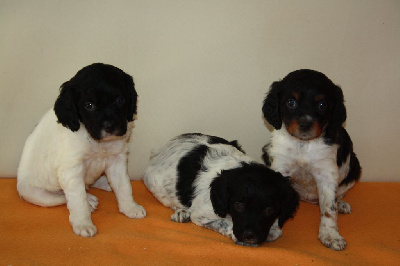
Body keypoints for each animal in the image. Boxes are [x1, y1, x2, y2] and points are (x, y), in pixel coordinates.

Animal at [17, 62, 146, 237]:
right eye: (89, 105)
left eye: (120, 100)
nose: (110, 127)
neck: (97, 142)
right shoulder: (72, 170)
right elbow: (78, 200)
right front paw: (83, 223)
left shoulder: (117, 160)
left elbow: (124, 186)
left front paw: (130, 208)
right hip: (38, 195)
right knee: (64, 197)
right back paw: (90, 200)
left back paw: (105, 184)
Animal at [142, 134, 298, 246]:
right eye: (238, 205)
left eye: (269, 210)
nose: (250, 236)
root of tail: (159, 150)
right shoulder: (201, 215)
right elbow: (226, 223)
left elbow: (277, 230)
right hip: (153, 182)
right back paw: (182, 212)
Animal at [260, 69, 360, 251]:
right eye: (291, 102)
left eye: (322, 105)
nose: (305, 124)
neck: (304, 144)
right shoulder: (281, 167)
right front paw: (273, 229)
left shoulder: (327, 174)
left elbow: (329, 208)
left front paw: (330, 235)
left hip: (354, 166)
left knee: (338, 195)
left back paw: (341, 204)